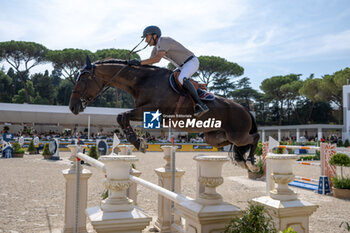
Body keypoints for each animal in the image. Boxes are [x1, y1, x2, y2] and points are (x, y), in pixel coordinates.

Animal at [69, 56, 260, 171]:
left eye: (83, 79)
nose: (72, 107)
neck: (142, 81)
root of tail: (246, 110)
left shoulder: (152, 110)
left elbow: (122, 116)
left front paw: (137, 142)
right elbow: (122, 117)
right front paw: (138, 140)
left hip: (237, 134)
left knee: (254, 137)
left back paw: (251, 161)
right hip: (215, 137)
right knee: (234, 143)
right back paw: (241, 160)